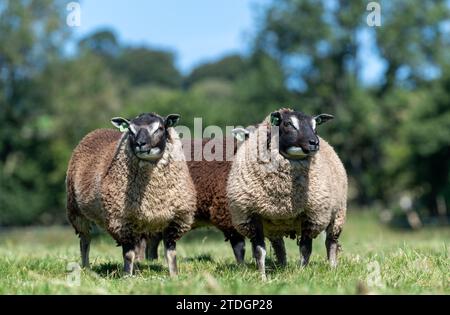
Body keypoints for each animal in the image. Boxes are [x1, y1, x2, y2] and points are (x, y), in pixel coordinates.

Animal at [66, 113, 196, 276]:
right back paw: (87, 268)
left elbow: (171, 253)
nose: (140, 144)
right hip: (76, 211)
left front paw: (174, 276)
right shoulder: (121, 221)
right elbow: (128, 254)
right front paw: (127, 276)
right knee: (84, 241)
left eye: (160, 128)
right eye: (130, 130)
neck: (153, 195)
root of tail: (97, 131)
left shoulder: (177, 219)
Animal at [229, 108, 348, 278]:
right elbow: (259, 251)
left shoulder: (310, 215)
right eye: (288, 124)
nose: (314, 143)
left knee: (331, 242)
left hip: (338, 213)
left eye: (315, 126)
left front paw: (302, 273)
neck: (282, 192)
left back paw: (332, 268)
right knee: (279, 246)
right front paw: (262, 277)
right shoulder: (253, 215)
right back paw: (282, 266)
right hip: (273, 224)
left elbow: (306, 249)